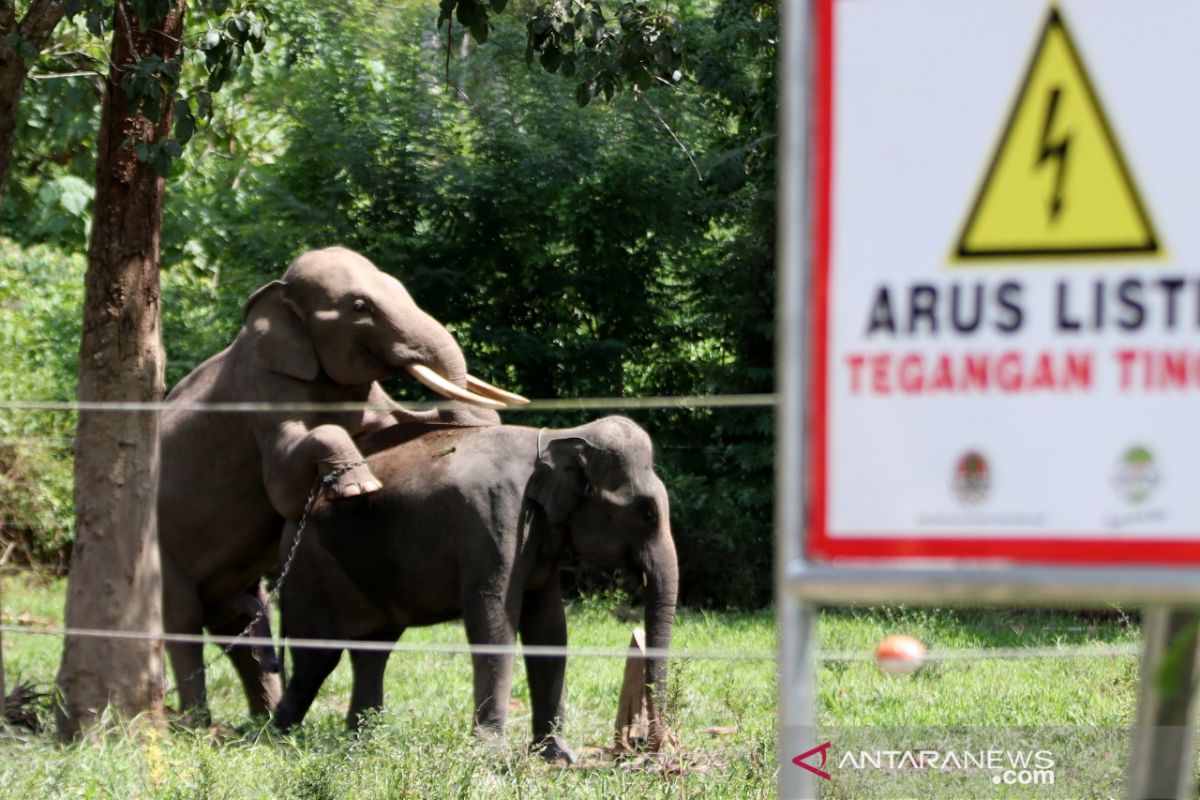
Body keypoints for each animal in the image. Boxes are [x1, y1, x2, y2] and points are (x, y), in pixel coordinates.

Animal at [157, 247, 518, 724]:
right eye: (359, 307)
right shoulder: (263, 390)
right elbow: (285, 489)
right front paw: (359, 488)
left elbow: (396, 425)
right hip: (159, 549)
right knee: (181, 620)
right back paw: (197, 725)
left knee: (236, 625)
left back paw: (259, 716)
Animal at [274, 412, 681, 762]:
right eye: (646, 512)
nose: (647, 747)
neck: (557, 438)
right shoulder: (495, 518)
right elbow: (495, 616)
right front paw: (493, 755)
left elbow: (549, 627)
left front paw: (558, 756)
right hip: (310, 569)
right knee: (316, 659)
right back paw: (276, 735)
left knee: (372, 652)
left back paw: (364, 740)